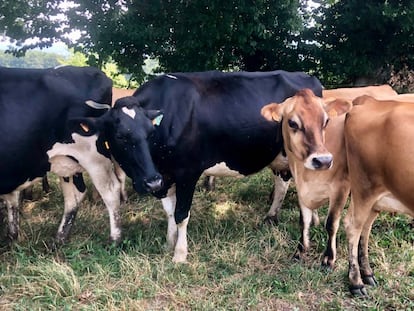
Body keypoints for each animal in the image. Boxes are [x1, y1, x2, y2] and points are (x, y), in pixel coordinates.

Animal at [0, 66, 127, 245]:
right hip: (67, 161)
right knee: (74, 196)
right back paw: (58, 239)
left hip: (95, 159)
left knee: (110, 191)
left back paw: (115, 239)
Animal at [77, 70, 324, 264]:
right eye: (121, 136)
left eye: (149, 133)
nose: (151, 181)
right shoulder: (164, 175)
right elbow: (169, 211)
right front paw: (169, 242)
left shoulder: (187, 173)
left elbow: (181, 214)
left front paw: (179, 254)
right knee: (284, 183)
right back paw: (279, 217)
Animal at [260, 91, 350, 270]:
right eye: (292, 123)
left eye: (326, 121)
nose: (323, 161)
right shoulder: (301, 187)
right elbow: (304, 221)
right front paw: (300, 251)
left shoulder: (341, 188)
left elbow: (331, 223)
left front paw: (328, 258)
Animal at [342, 95, 414, 298]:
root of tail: (370, 101)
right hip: (364, 187)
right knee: (353, 226)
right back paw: (356, 283)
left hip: (375, 196)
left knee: (365, 227)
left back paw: (367, 273)